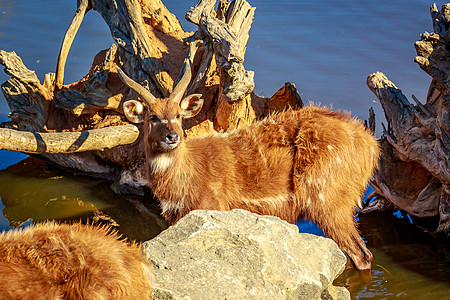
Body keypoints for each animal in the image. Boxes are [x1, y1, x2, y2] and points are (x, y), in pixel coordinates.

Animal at [116, 59, 380, 270]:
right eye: (152, 117)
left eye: (178, 116)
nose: (172, 136)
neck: (187, 176)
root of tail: (370, 145)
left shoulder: (212, 208)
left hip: (328, 202)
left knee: (362, 255)